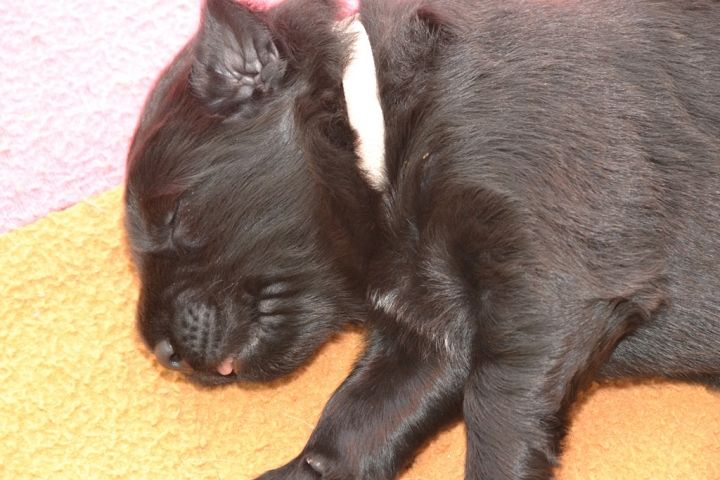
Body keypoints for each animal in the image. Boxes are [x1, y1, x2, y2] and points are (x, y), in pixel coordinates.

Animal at [124, 0, 720, 478]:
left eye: (172, 218)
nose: (160, 352)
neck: (384, 128)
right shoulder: (428, 331)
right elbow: (354, 423)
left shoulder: (550, 286)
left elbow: (495, 414)